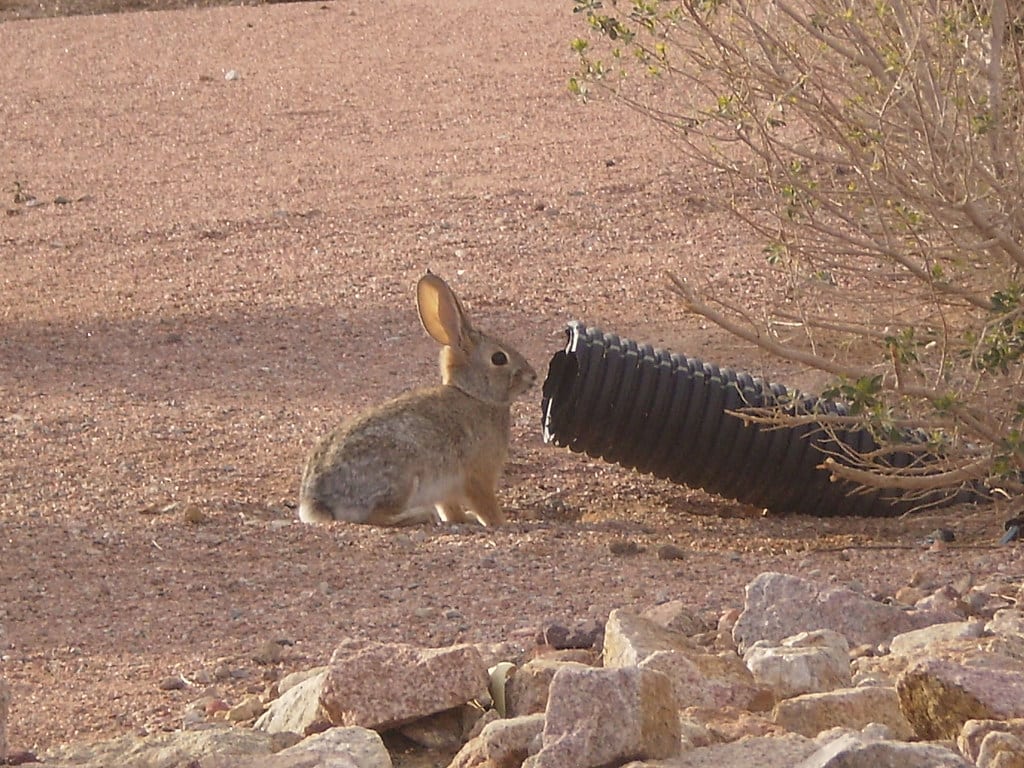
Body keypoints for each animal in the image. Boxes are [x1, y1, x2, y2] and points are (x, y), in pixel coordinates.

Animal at [298, 272, 537, 527]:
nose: (533, 376)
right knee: (378, 515)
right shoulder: (477, 475)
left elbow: (452, 509)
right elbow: (486, 507)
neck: (475, 394)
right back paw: (420, 515)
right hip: (401, 479)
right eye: (499, 358)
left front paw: (465, 519)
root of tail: (316, 501)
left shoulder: (446, 491)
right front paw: (502, 523)